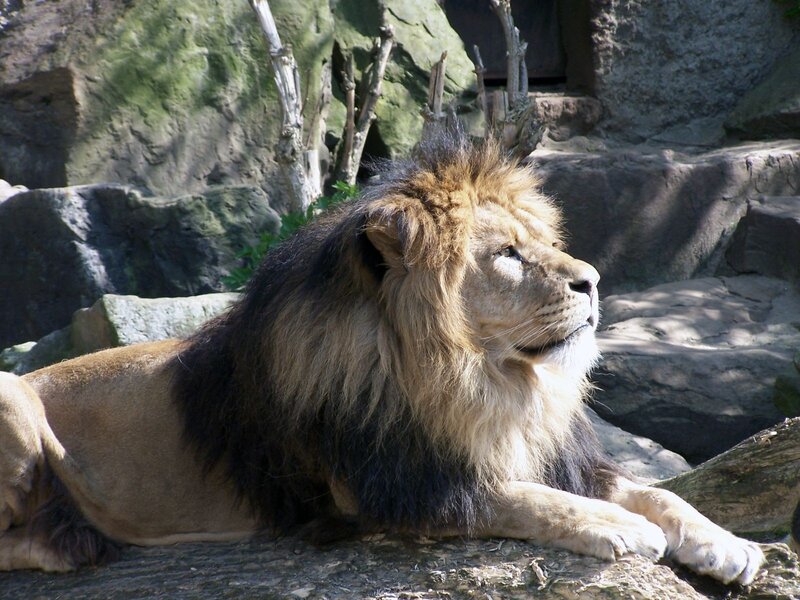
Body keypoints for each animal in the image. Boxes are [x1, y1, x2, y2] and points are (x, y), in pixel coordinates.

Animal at [0, 131, 763, 584]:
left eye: (542, 243)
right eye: (507, 255)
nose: (594, 281)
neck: (477, 379)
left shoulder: (551, 451)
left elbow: (654, 488)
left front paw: (725, 542)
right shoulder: (385, 485)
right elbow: (519, 498)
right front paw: (618, 528)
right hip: (12, 398)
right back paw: (70, 542)